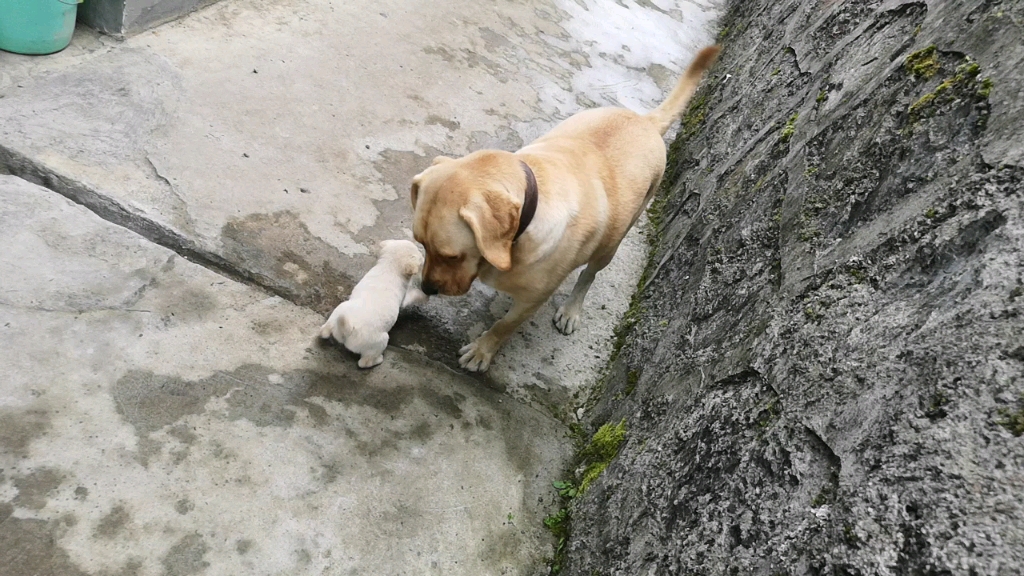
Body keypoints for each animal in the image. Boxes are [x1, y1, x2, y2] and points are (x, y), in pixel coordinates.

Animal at [321, 238, 430, 366]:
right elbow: (414, 294)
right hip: (380, 341)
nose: (424, 256)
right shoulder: (405, 297)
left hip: (338, 311)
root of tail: (348, 329)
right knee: (364, 362)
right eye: (420, 257)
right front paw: (425, 296)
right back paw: (378, 360)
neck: (389, 266)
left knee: (325, 330)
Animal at [409, 43, 720, 366]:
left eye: (452, 256)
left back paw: (572, 308)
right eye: (421, 243)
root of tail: (645, 121)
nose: (426, 288)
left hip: (612, 243)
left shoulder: (533, 299)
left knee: (588, 274)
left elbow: (505, 325)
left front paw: (484, 349)